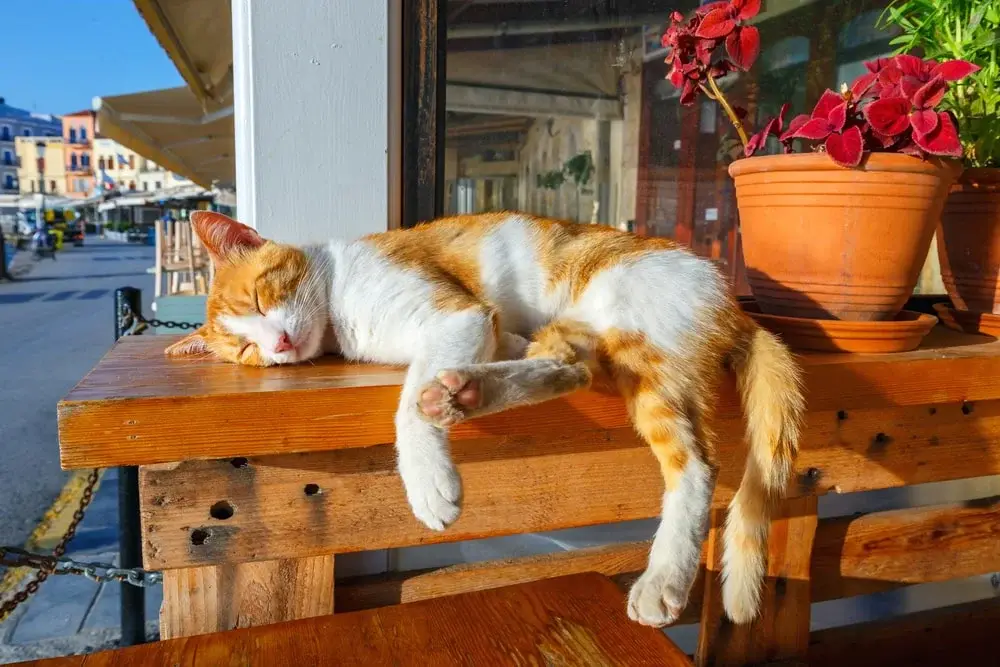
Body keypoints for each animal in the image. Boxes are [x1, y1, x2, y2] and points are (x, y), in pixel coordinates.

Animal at [166, 211, 804, 628]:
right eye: (246, 351)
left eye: (257, 298)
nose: (275, 343)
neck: (338, 310)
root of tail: (732, 304)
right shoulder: (480, 328)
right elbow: (474, 355)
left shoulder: (456, 315)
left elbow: (408, 401)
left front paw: (428, 481)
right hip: (582, 336)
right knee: (570, 368)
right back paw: (471, 390)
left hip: (640, 338)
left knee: (695, 465)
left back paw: (664, 578)